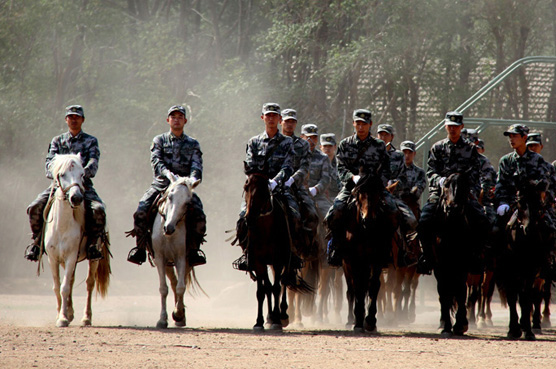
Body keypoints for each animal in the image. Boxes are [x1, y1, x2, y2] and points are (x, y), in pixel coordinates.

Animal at [43, 154, 111, 326]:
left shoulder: (71, 256)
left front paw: (62, 318)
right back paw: (70, 312)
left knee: (89, 283)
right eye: (62, 174)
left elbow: (64, 287)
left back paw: (86, 318)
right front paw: (61, 315)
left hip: (93, 259)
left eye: (82, 174)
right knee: (72, 281)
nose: (76, 198)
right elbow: (57, 287)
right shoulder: (53, 259)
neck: (62, 226)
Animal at [152, 172, 202, 328]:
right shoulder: (160, 258)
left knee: (181, 282)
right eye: (170, 197)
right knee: (173, 283)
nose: (169, 227)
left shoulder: (181, 258)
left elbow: (181, 287)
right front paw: (162, 320)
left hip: (187, 261)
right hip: (168, 263)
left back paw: (180, 316)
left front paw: (178, 314)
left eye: (187, 203)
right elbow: (164, 288)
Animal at [243, 167, 312, 330]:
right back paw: (270, 317)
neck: (265, 230)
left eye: (263, 190)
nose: (249, 218)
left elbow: (277, 288)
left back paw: (283, 315)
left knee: (284, 282)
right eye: (246, 187)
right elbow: (262, 290)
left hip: (287, 260)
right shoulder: (259, 262)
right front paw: (260, 321)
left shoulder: (279, 261)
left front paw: (277, 320)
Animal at [340, 171, 398, 332]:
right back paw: (351, 319)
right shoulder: (354, 260)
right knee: (351, 290)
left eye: (378, 193)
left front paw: (370, 320)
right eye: (360, 193)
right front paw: (358, 321)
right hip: (347, 265)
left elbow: (374, 286)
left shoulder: (377, 259)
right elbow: (358, 288)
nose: (369, 220)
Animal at [496, 178, 552, 340]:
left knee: (535, 296)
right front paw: (513, 329)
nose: (529, 229)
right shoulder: (508, 272)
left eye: (538, 202)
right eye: (520, 201)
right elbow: (512, 297)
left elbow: (526, 298)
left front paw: (527, 329)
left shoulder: (531, 272)